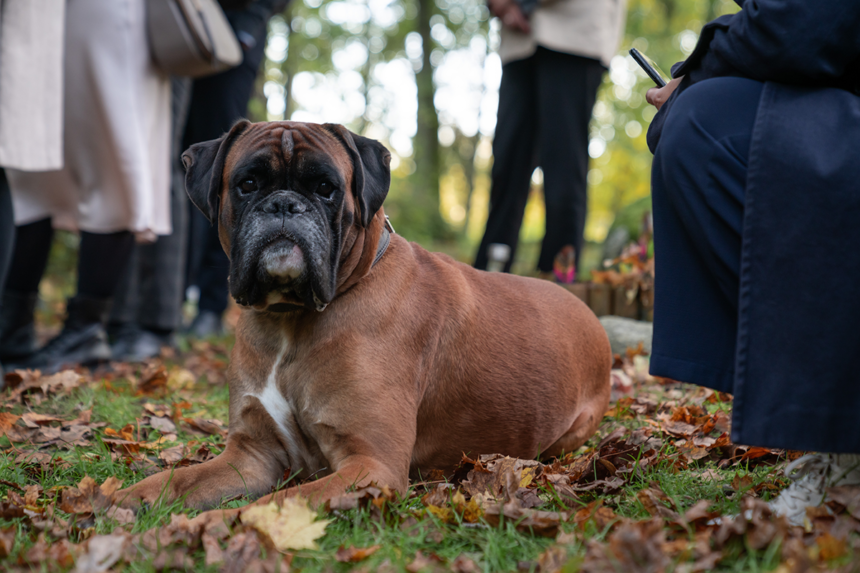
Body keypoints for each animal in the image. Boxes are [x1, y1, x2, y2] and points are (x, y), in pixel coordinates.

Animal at [116, 120, 612, 512]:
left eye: (325, 189)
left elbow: (272, 506)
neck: (290, 320)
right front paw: (123, 500)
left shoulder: (371, 465)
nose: (284, 204)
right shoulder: (251, 456)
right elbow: (178, 479)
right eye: (248, 184)